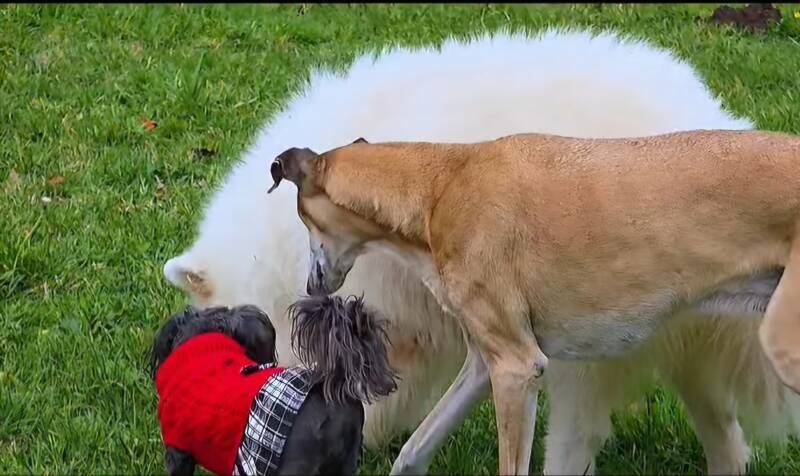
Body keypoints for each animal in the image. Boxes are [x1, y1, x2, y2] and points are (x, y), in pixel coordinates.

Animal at [267, 128, 800, 475]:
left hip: (783, 346)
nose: (310, 288)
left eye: (302, 218)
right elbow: (411, 453)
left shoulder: (517, 369)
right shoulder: (484, 365)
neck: (442, 185)